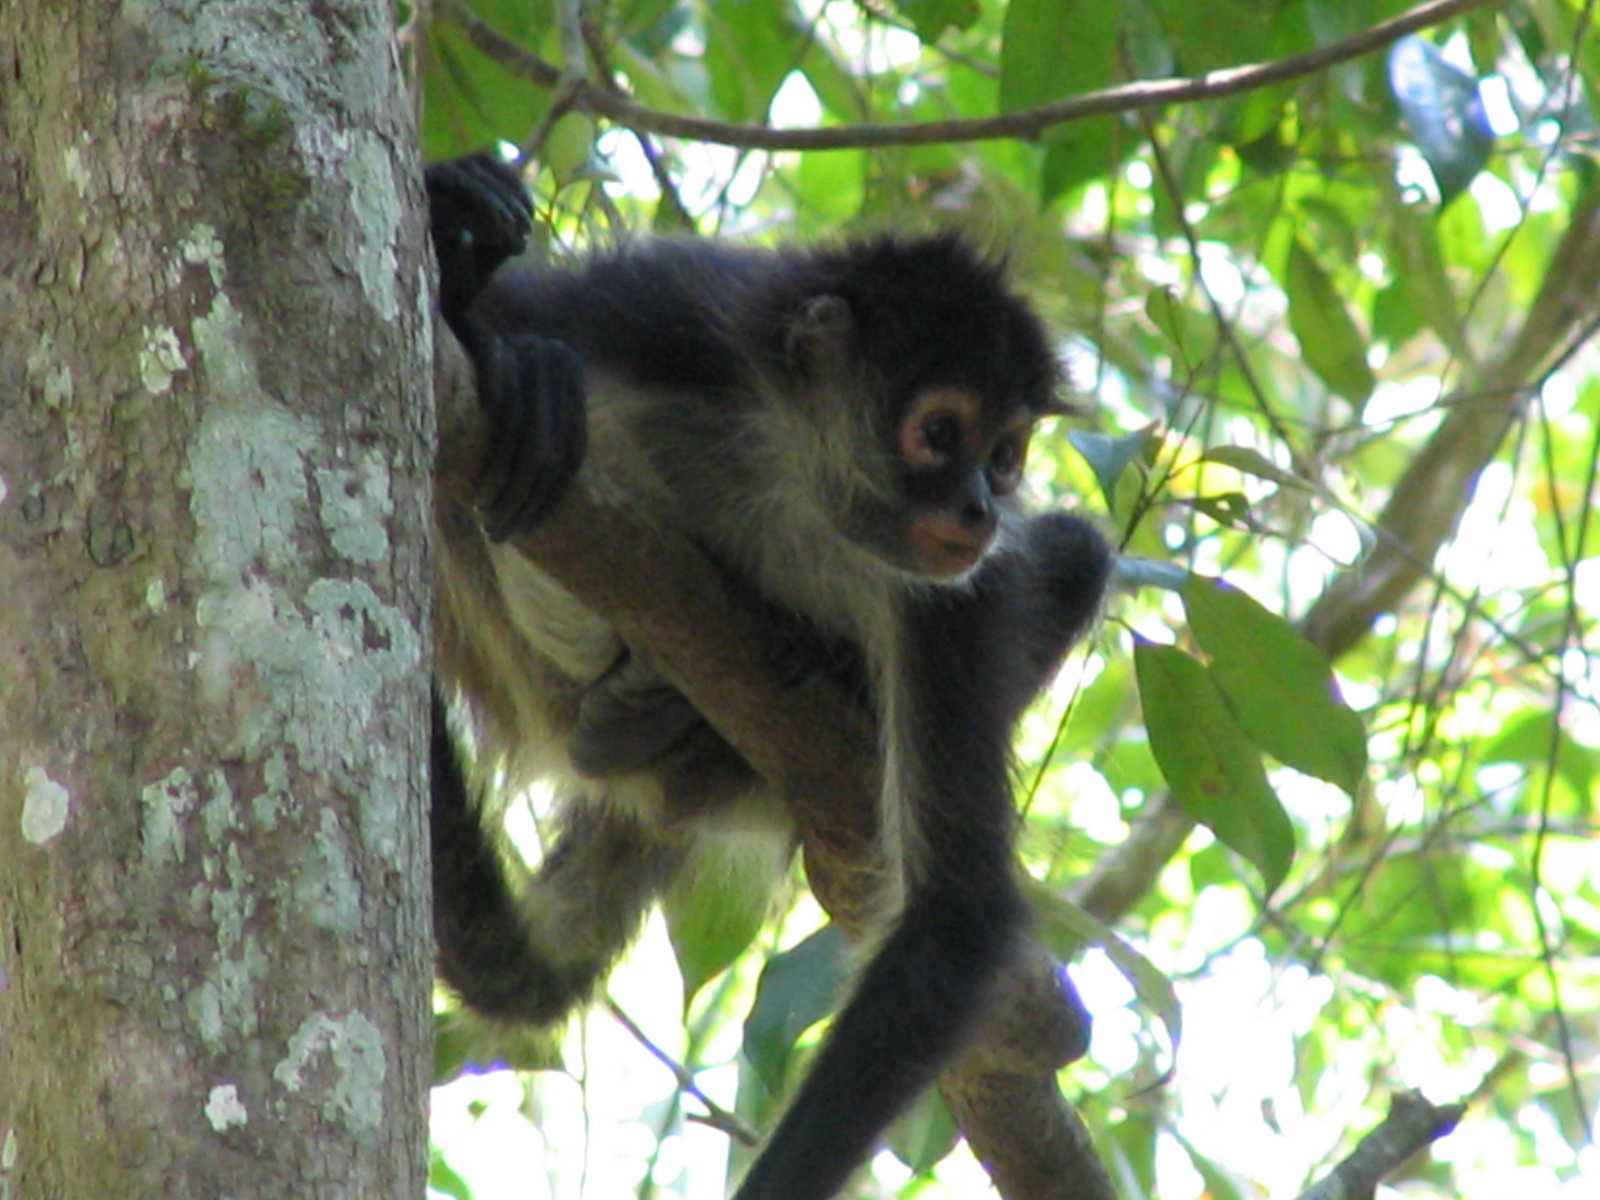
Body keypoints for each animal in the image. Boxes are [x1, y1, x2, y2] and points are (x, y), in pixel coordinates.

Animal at [423, 154, 1111, 1200]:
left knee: (1075, 549)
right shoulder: (676, 317)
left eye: (1004, 455)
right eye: (939, 433)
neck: (794, 482)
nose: (979, 508)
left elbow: (954, 918)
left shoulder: (951, 600)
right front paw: (459, 229)